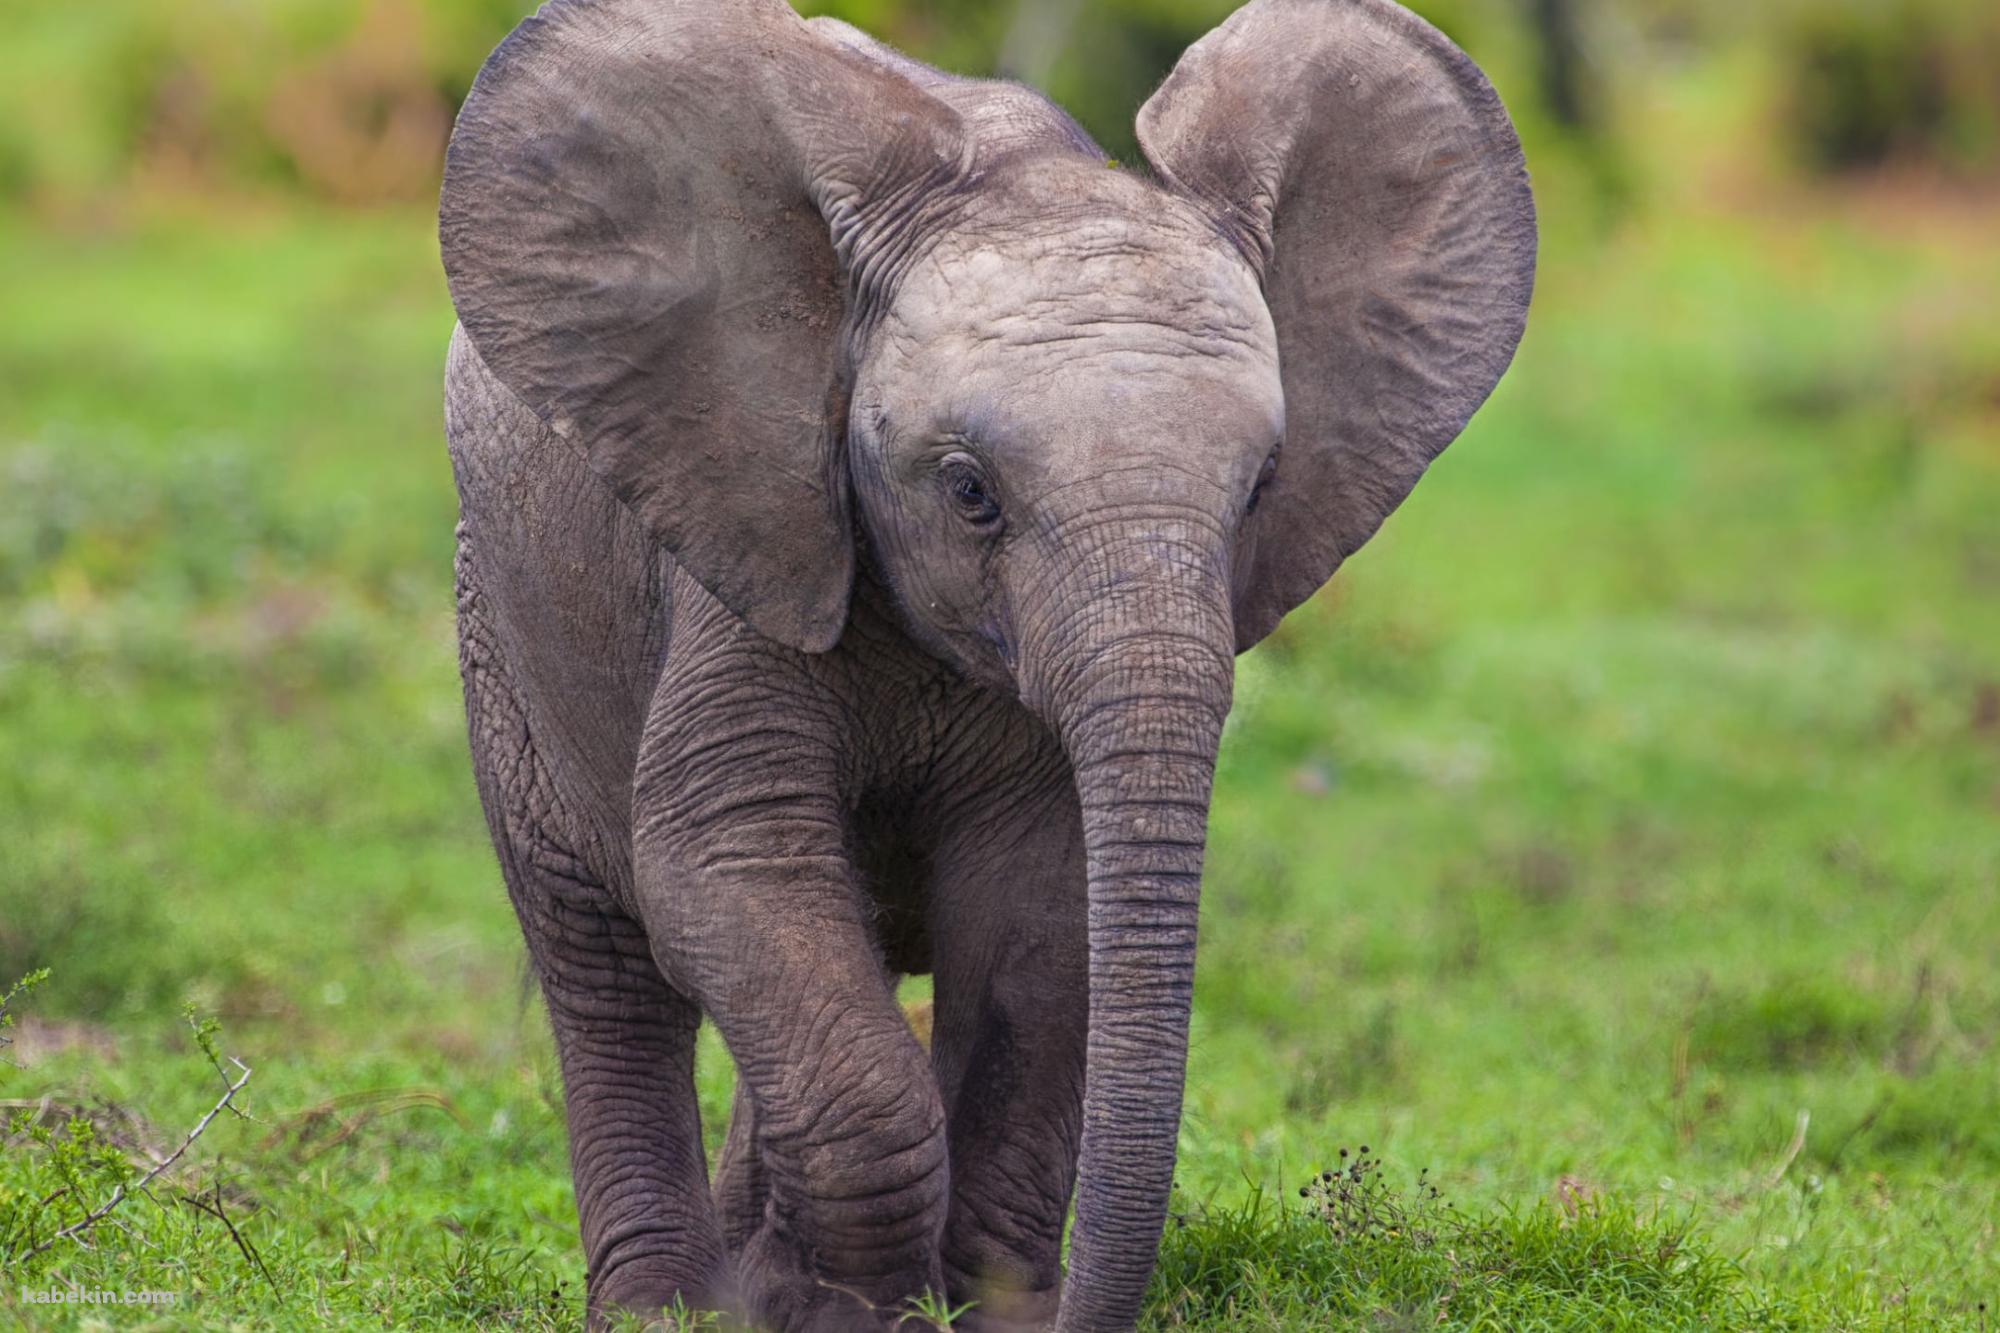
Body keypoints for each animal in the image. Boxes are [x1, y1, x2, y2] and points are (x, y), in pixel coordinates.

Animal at [437, 0, 1533, 1328]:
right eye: (969, 493)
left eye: (1258, 489)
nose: (1063, 1306)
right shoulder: (745, 550)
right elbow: (724, 864)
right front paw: (842, 1313)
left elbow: (1037, 919)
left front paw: (960, 1309)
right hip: (501, 614)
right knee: (599, 961)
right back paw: (668, 1307)